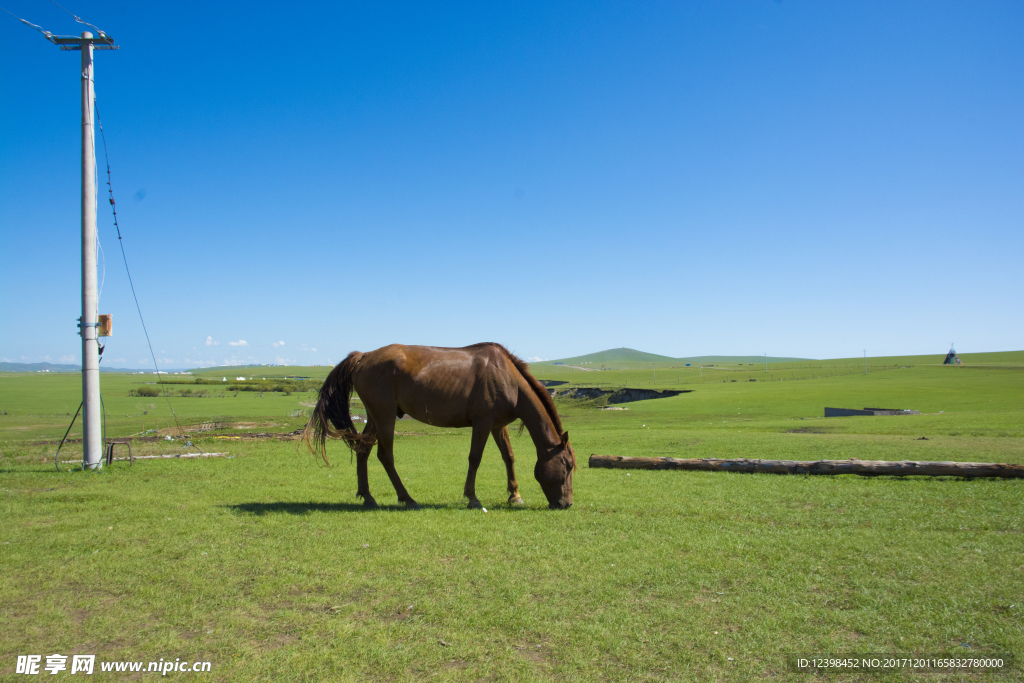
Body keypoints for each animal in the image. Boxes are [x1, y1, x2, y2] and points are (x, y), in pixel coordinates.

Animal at [303, 343, 575, 510]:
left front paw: (515, 495)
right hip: (385, 416)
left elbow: (508, 457)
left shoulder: (498, 426)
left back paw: (368, 497)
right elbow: (475, 458)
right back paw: (407, 498)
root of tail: (363, 357)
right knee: (385, 455)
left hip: (373, 417)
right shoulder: (483, 422)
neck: (507, 377)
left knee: (363, 451)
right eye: (568, 465)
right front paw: (473, 498)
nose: (567, 503)